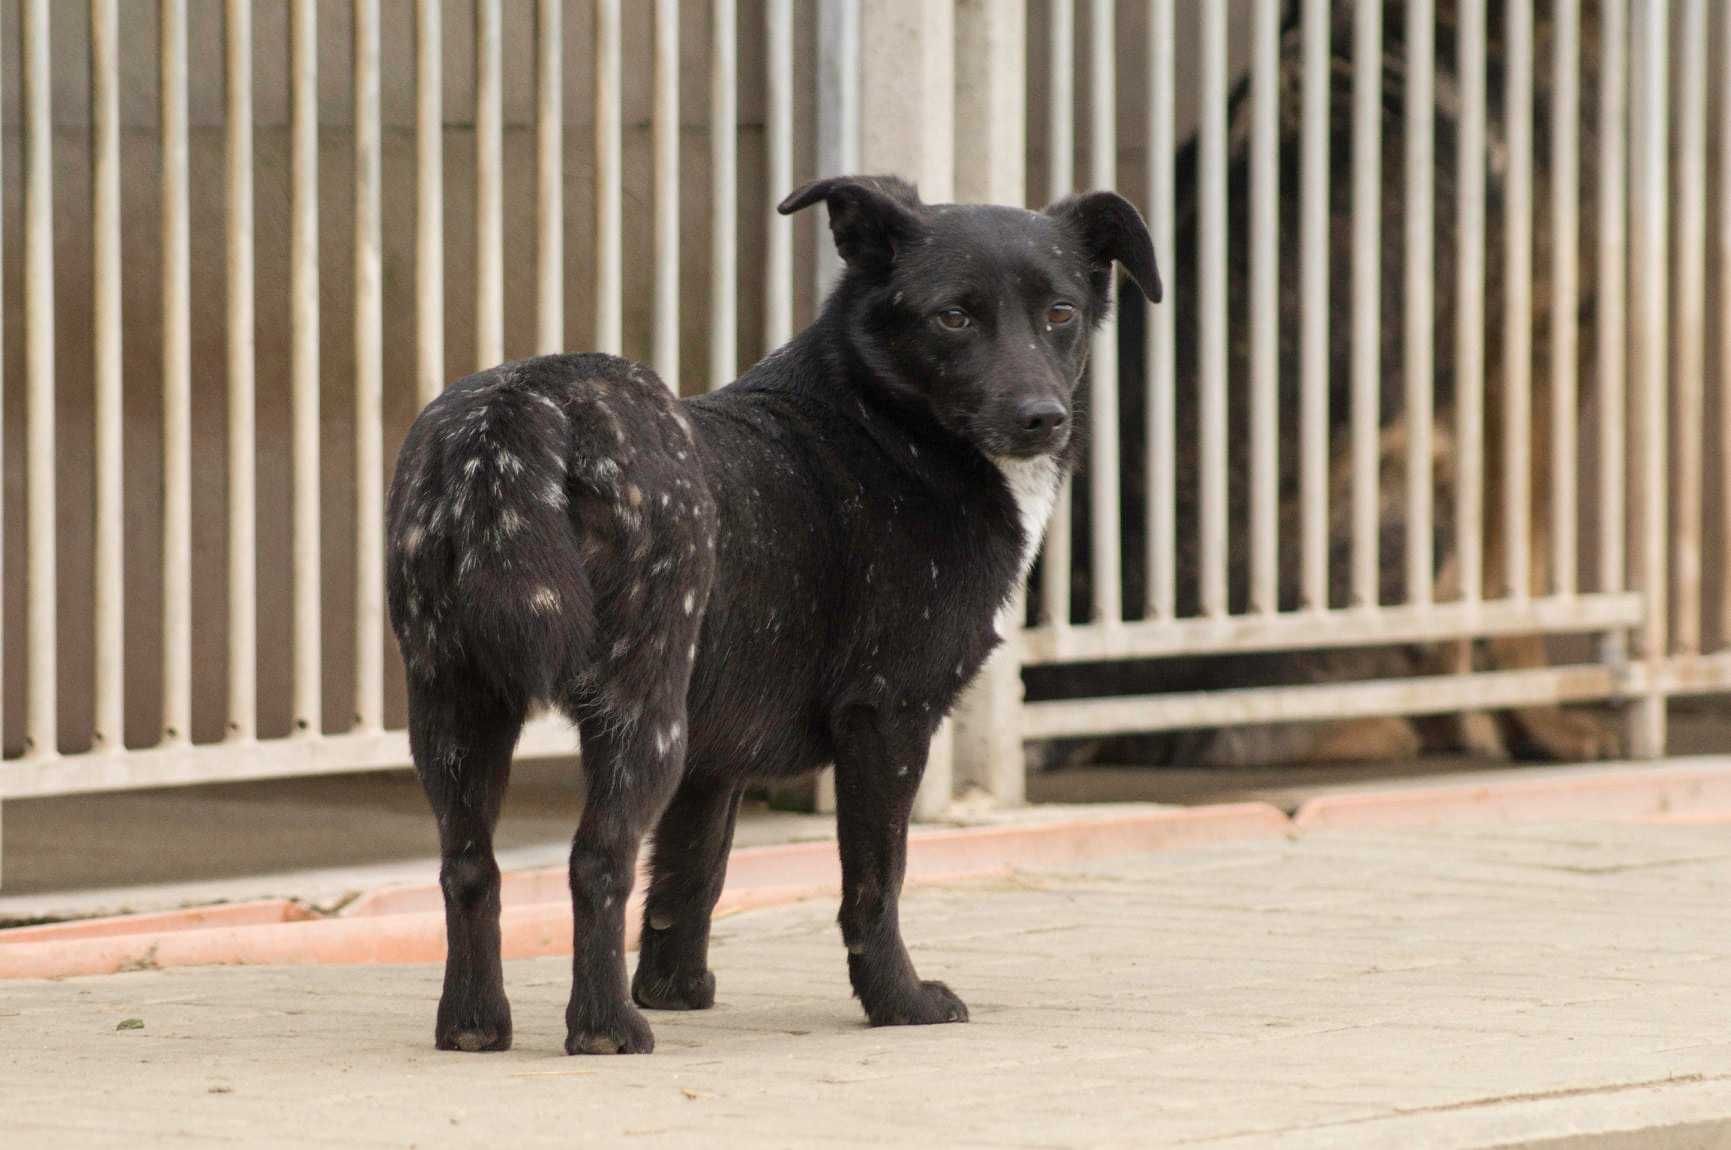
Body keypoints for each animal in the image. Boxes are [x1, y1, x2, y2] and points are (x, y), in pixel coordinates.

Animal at [382, 174, 1163, 1053]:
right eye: (952, 317)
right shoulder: (887, 717)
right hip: (638, 712)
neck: (884, 421)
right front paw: (898, 1001)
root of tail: (525, 406)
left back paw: (475, 1024)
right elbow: (876, 881)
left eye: (1060, 312)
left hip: (454, 707)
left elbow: (690, 876)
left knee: (469, 867)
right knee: (596, 860)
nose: (1041, 418)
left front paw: (676, 989)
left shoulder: (712, 762)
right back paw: (607, 1027)